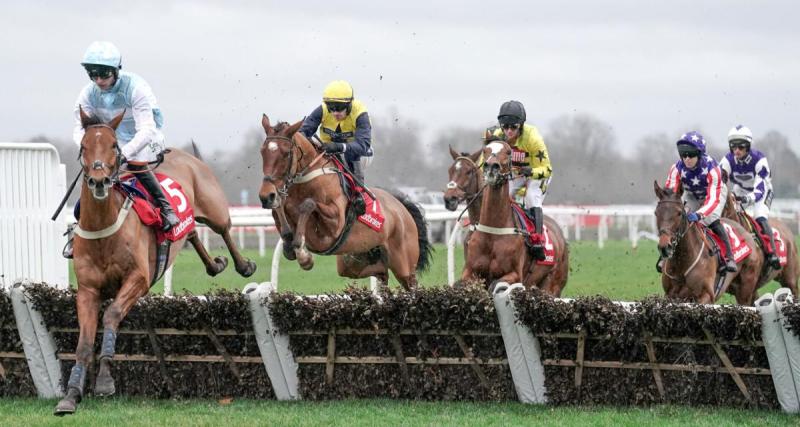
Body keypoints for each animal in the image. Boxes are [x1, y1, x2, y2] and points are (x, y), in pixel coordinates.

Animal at [56, 108, 256, 416]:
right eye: (83, 147)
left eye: (114, 145)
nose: (99, 182)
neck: (105, 228)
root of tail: (185, 154)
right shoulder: (88, 290)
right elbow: (83, 344)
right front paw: (71, 395)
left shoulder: (138, 279)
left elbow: (112, 314)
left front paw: (104, 380)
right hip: (187, 223)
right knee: (192, 232)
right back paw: (214, 265)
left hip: (214, 208)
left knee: (223, 229)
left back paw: (243, 265)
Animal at [256, 114, 432, 290]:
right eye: (262, 152)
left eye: (286, 153)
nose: (266, 196)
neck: (307, 179)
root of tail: (402, 208)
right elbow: (278, 209)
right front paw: (289, 244)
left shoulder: (335, 224)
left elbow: (308, 204)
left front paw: (304, 255)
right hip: (353, 262)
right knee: (381, 272)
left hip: (404, 264)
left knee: (411, 284)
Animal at [456, 139, 568, 296]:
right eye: (485, 150)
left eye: (508, 152)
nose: (492, 167)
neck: (494, 230)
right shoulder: (470, 271)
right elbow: (461, 284)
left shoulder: (515, 275)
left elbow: (496, 286)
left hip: (552, 284)